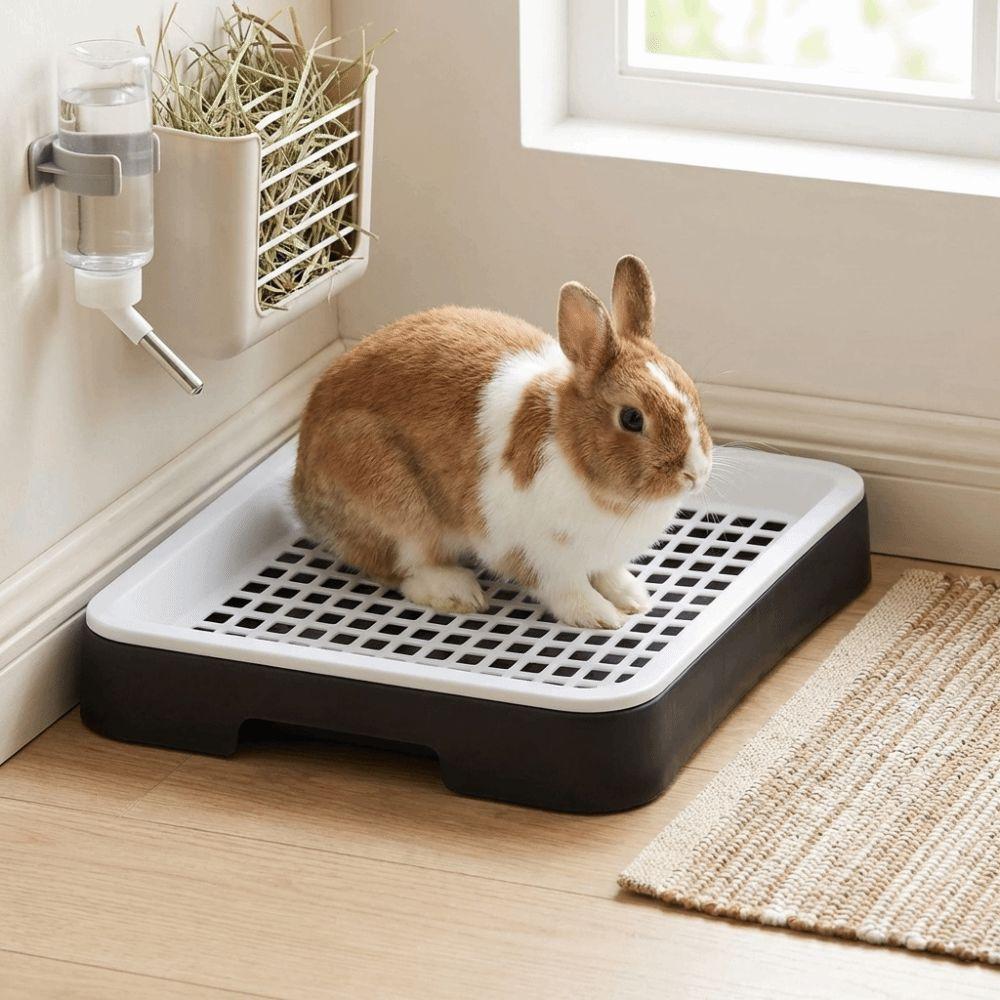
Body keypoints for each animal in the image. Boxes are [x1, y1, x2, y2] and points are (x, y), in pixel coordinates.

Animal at [293, 255, 712, 629]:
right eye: (631, 418)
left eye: (692, 390)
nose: (695, 474)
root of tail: (302, 495)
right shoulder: (537, 555)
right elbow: (568, 590)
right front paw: (599, 617)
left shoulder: (603, 557)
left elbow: (610, 575)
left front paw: (634, 599)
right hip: (393, 502)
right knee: (402, 567)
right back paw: (457, 593)